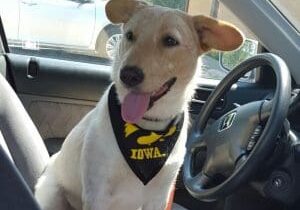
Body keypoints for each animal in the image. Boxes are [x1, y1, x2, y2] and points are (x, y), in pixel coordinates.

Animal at [34, 0, 244, 210]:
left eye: (170, 41)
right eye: (129, 35)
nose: (128, 75)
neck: (149, 126)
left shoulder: (159, 197)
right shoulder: (97, 194)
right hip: (51, 194)